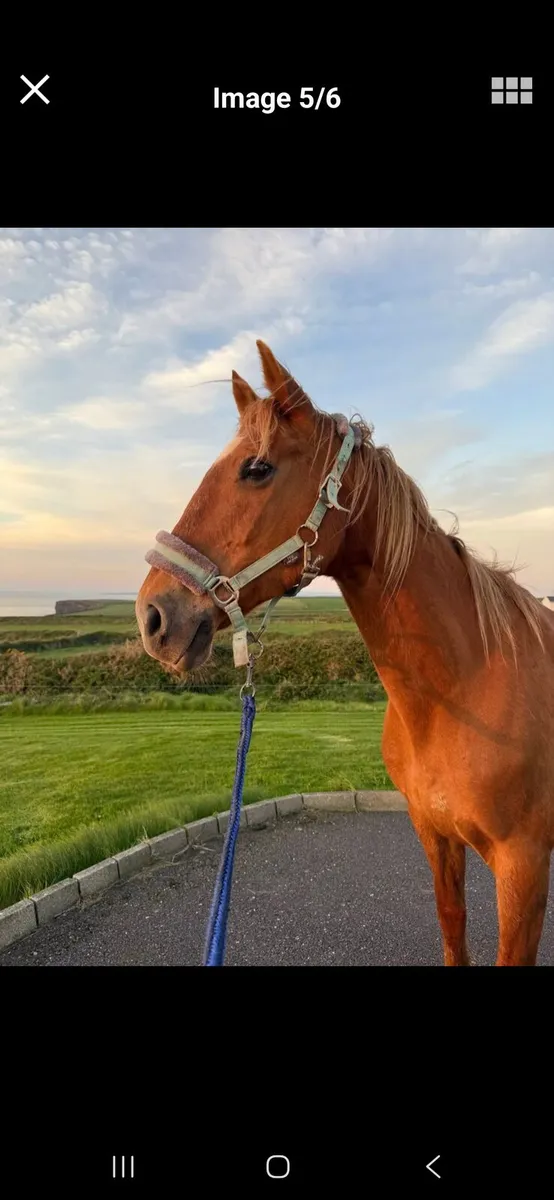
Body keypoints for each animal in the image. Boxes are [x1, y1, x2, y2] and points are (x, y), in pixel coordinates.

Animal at [136, 339, 554, 967]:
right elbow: (452, 928)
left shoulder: (523, 868)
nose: (153, 617)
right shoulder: (436, 839)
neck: (468, 684)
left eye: (256, 469)